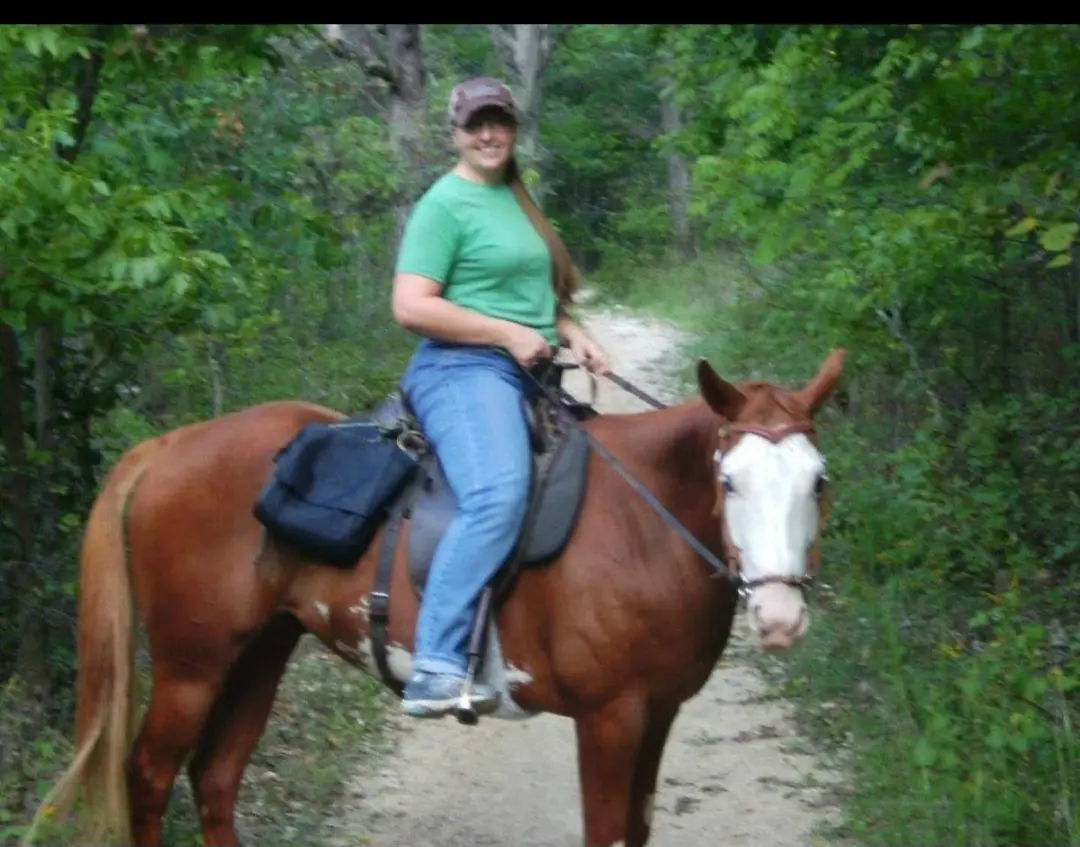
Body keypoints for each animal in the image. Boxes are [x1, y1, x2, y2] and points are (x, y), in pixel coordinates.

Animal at [24, 346, 844, 847]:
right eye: (730, 481)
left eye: (818, 480)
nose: (779, 617)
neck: (643, 524)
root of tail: (166, 447)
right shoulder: (610, 718)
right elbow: (607, 831)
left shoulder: (658, 712)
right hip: (191, 666)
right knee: (149, 777)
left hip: (260, 650)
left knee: (216, 778)